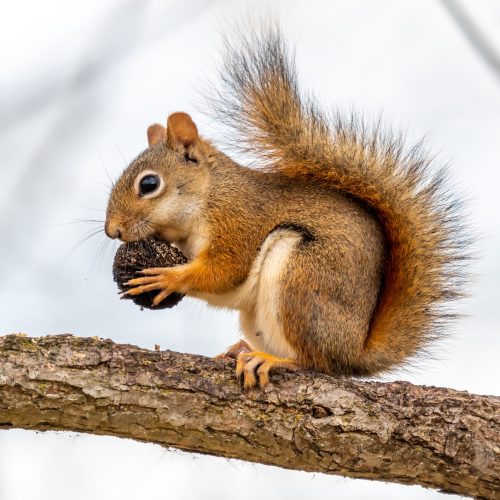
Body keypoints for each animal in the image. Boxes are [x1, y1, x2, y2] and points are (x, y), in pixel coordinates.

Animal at [104, 27, 468, 388]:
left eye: (149, 184)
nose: (112, 230)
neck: (209, 195)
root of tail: (354, 351)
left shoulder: (239, 220)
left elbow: (225, 270)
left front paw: (167, 277)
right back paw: (242, 349)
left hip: (301, 278)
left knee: (316, 363)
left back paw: (274, 360)